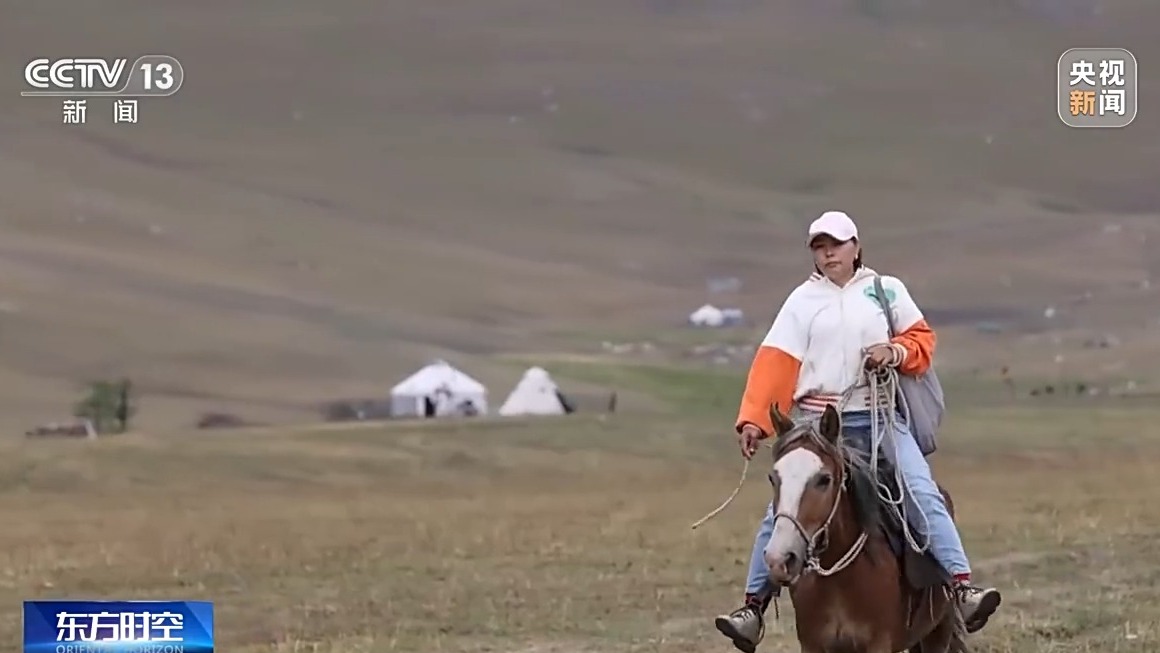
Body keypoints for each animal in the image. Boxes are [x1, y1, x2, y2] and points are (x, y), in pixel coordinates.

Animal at [760, 403, 969, 653]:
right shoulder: (812, 645)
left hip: (938, 631)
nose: (779, 559)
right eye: (772, 478)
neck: (837, 581)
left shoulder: (878, 643)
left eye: (824, 479)